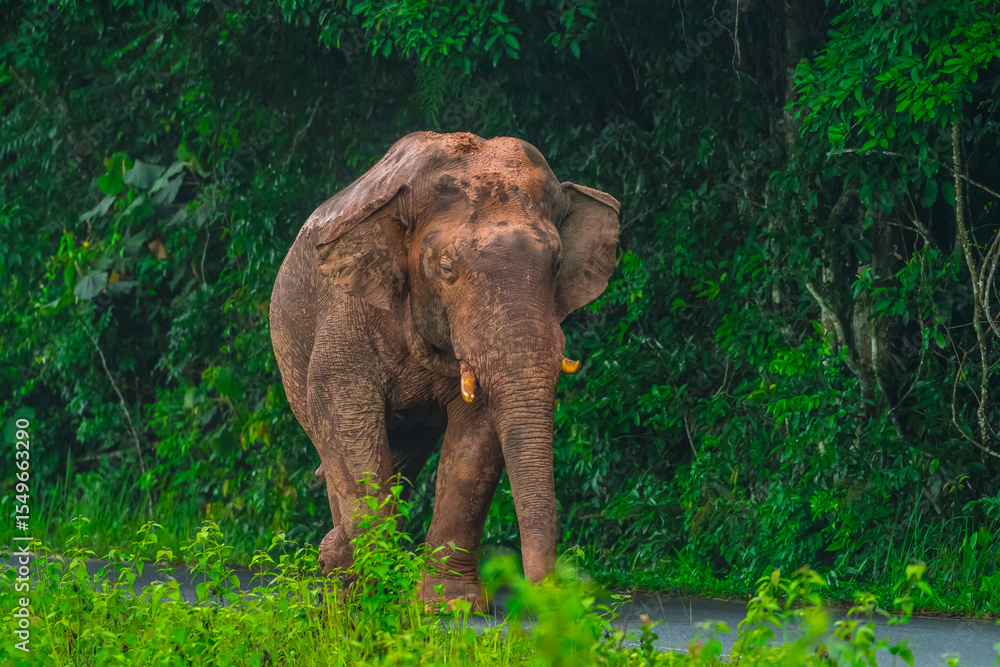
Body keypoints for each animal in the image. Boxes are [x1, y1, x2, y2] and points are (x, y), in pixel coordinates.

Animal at [269, 131, 620, 609]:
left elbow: (475, 438)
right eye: (447, 270)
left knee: (403, 455)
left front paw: (451, 605)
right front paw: (363, 588)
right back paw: (341, 573)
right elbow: (343, 413)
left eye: (556, 266)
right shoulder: (345, 311)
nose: (547, 596)